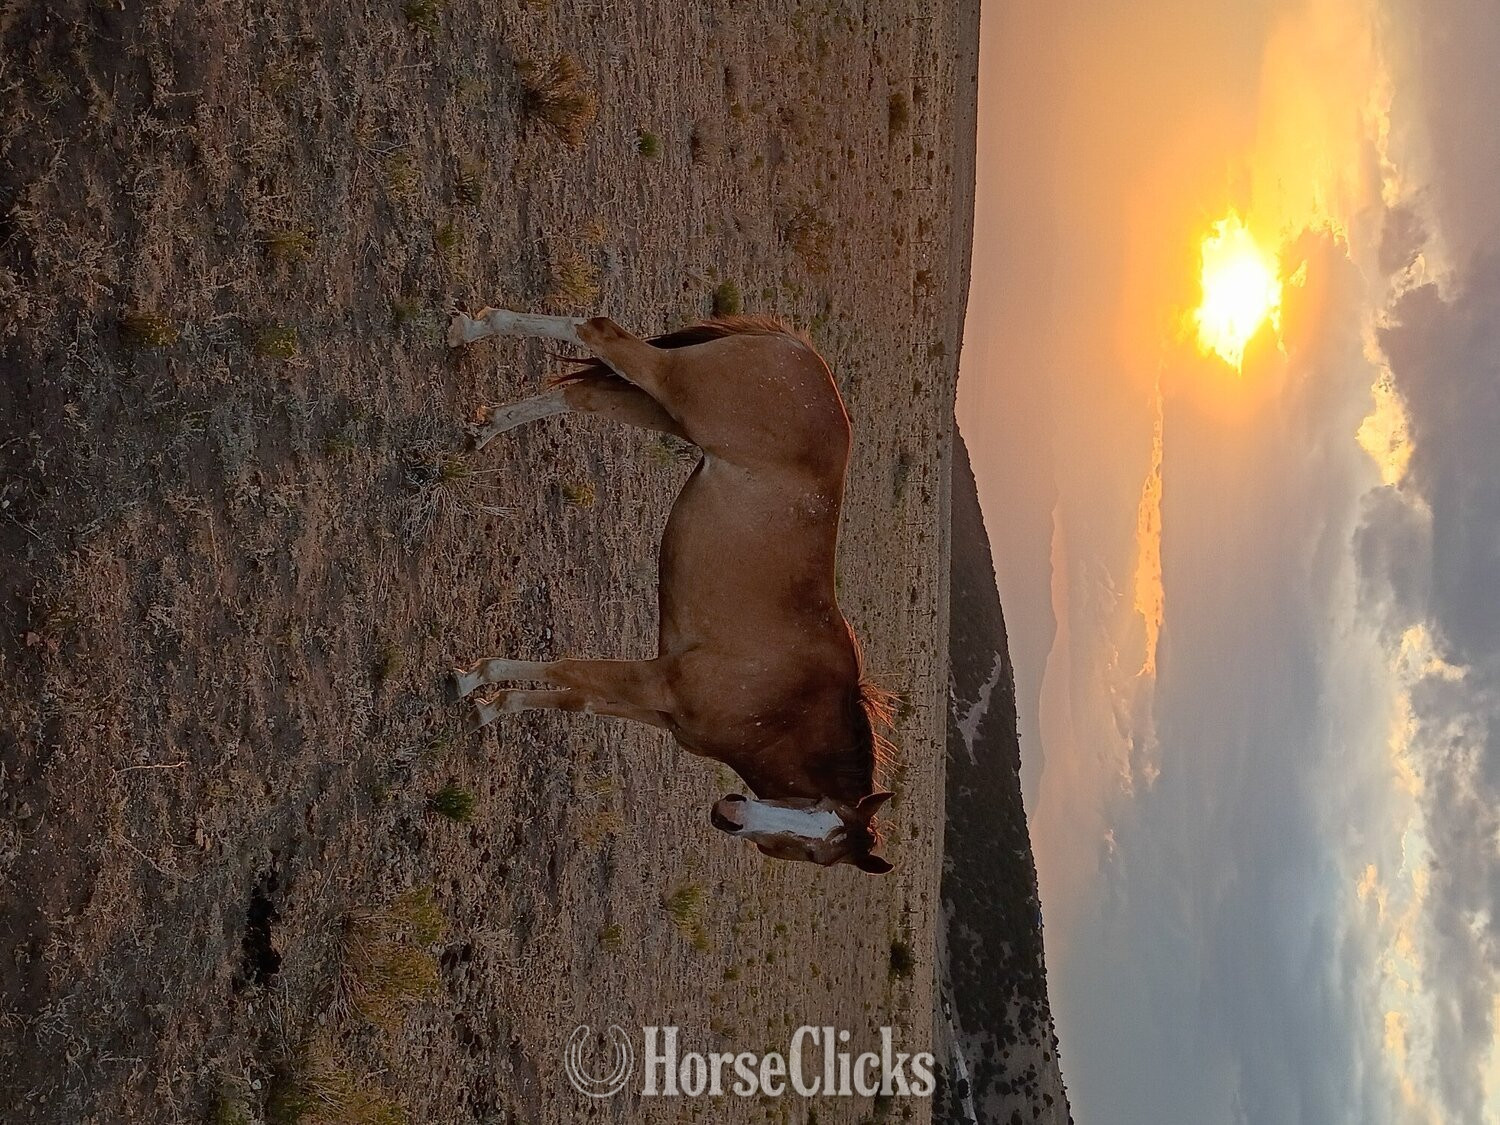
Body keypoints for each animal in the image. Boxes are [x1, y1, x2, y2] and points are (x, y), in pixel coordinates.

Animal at [446, 305, 896, 873]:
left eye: (818, 851)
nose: (730, 815)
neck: (785, 707)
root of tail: (799, 352)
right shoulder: (657, 680)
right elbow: (565, 670)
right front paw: (471, 679)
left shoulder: (656, 707)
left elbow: (573, 698)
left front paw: (490, 705)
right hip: (673, 388)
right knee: (598, 331)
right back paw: (470, 331)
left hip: (658, 409)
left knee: (582, 396)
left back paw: (482, 426)